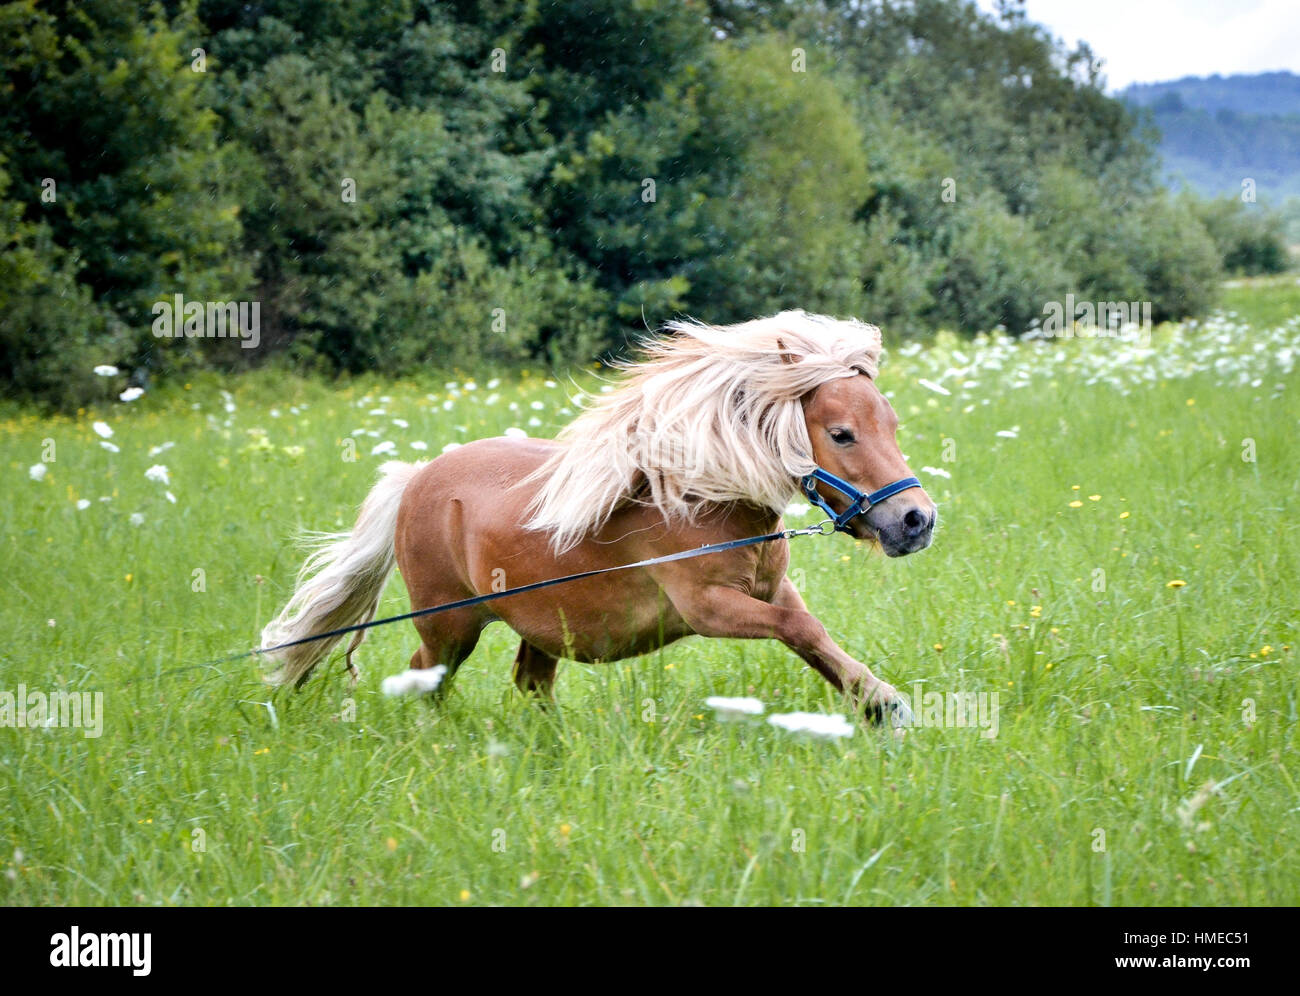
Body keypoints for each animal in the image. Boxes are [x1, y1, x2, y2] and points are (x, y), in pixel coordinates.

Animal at [258, 312, 935, 728]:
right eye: (841, 433)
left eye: (893, 424)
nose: (916, 520)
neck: (705, 501)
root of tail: (417, 477)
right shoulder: (707, 608)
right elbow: (799, 631)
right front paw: (885, 706)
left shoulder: (772, 591)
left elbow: (812, 636)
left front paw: (882, 704)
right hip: (449, 623)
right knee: (427, 673)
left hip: (536, 625)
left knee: (530, 682)